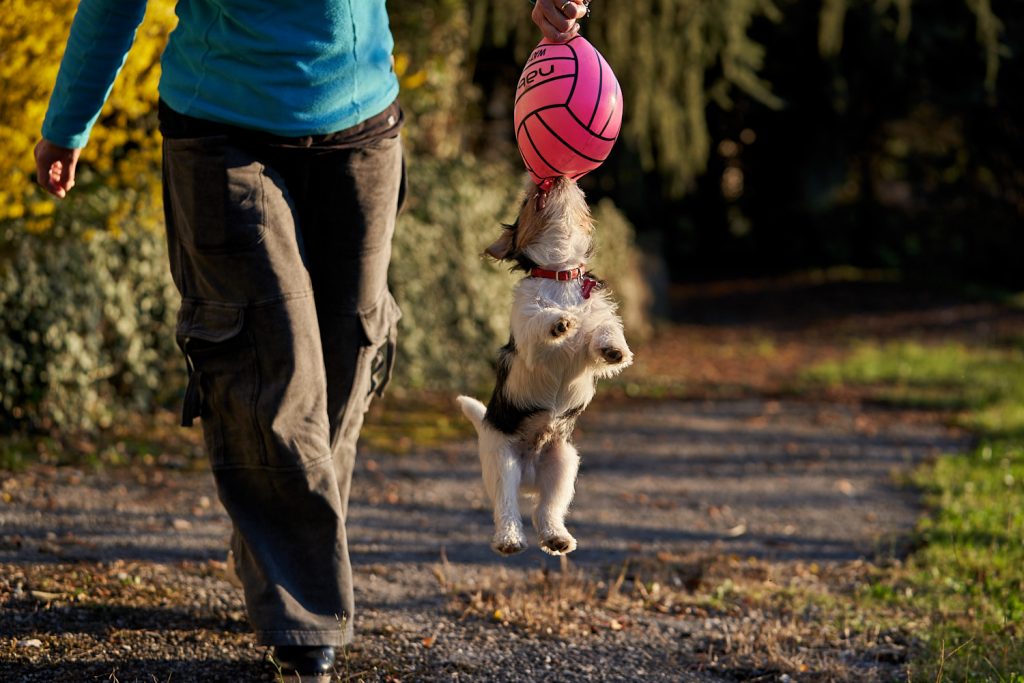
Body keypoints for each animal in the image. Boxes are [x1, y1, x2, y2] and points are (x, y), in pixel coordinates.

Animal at [458, 176, 630, 557]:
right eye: (525, 202)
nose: (550, 179)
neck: (560, 274)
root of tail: (529, 475)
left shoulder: (597, 323)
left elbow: (602, 329)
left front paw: (615, 350)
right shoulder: (530, 334)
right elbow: (542, 319)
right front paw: (561, 321)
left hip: (564, 464)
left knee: (546, 510)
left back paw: (557, 537)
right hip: (502, 462)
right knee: (507, 508)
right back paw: (509, 540)